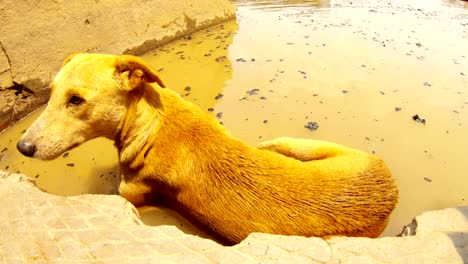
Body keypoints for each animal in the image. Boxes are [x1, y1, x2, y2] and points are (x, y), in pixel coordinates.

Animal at [18, 53, 398, 245]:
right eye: (51, 92)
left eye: (76, 100)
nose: (22, 146)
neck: (152, 122)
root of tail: (390, 188)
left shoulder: (133, 199)